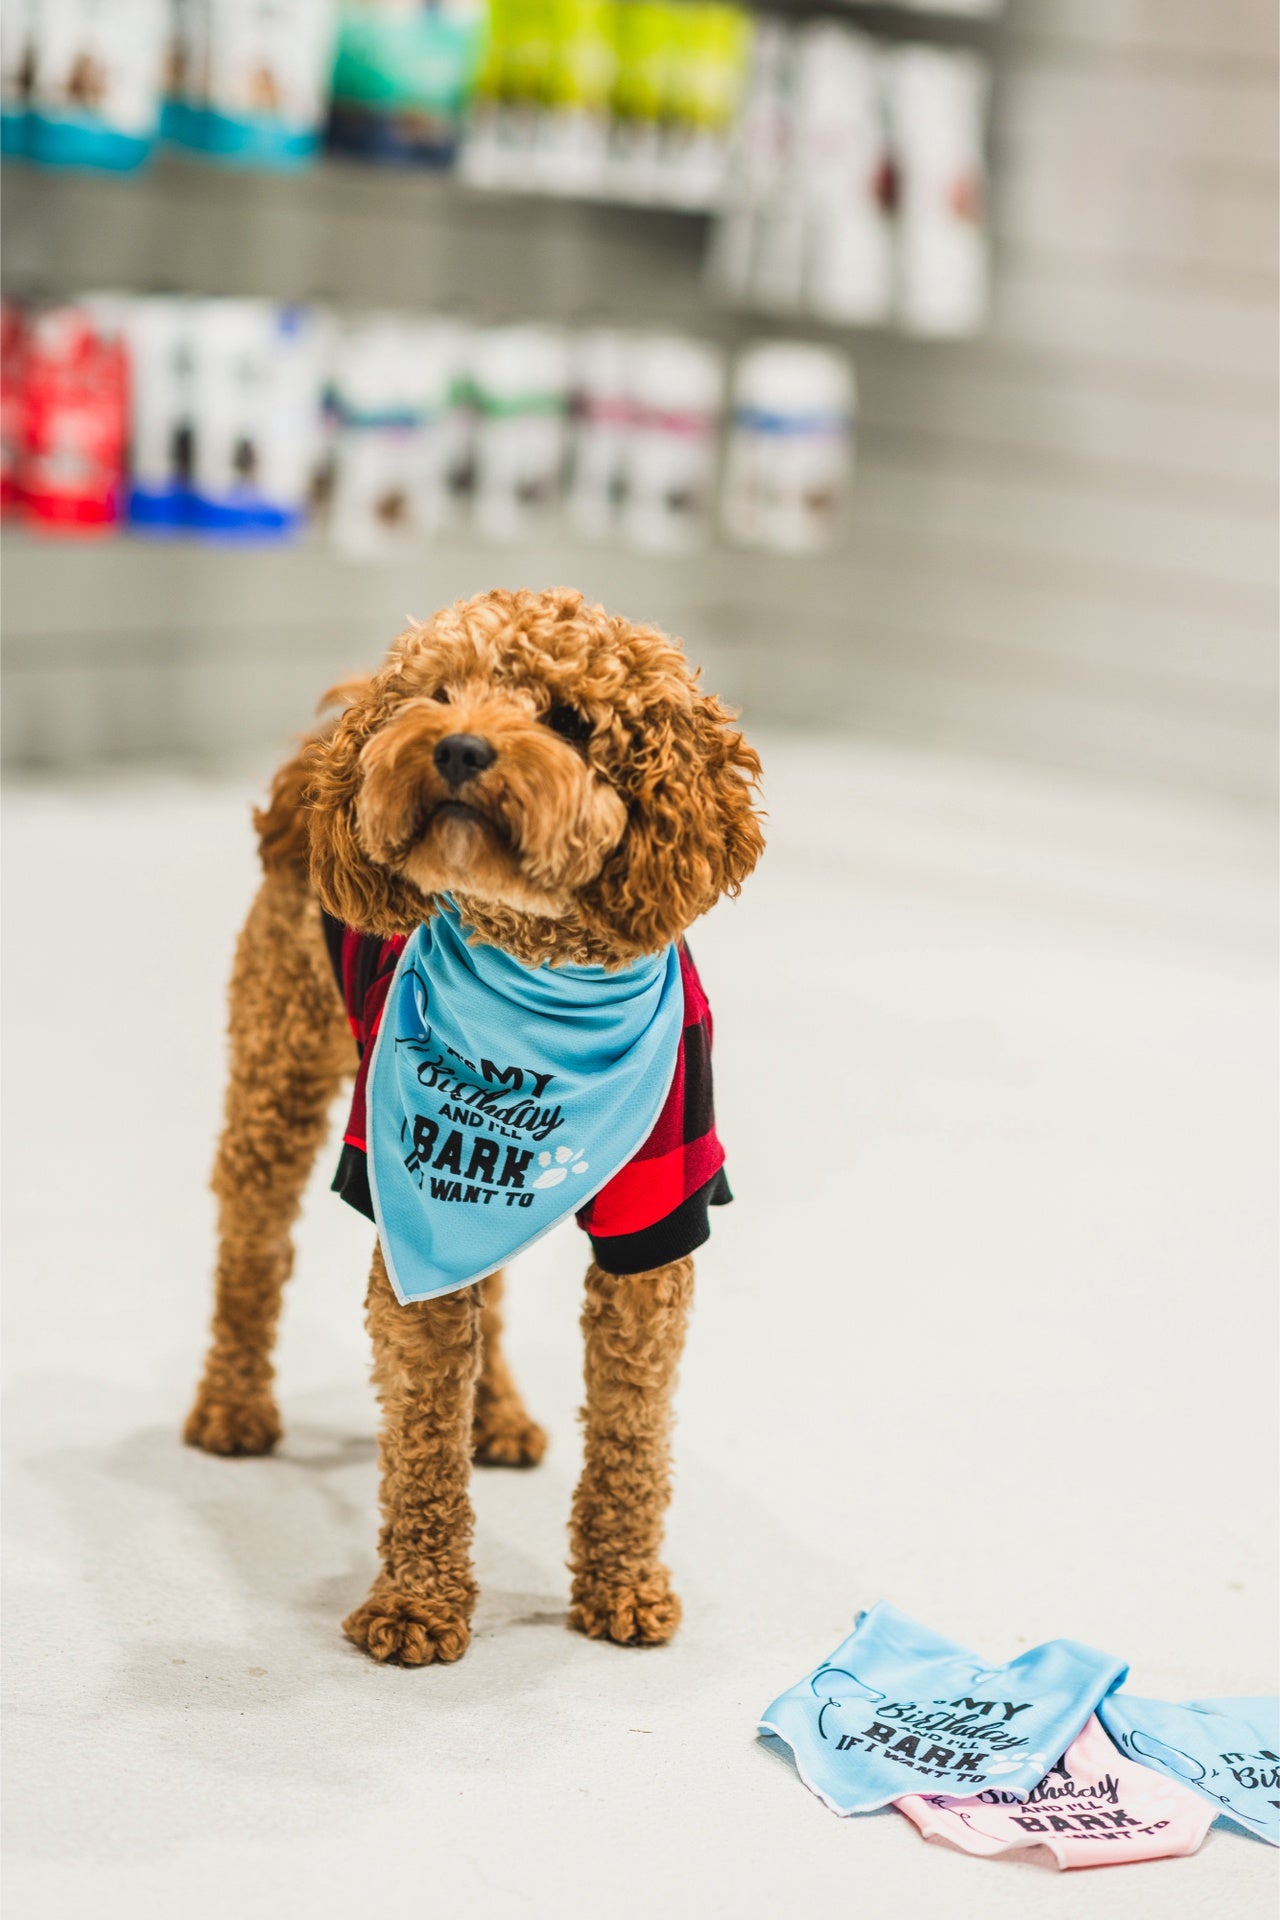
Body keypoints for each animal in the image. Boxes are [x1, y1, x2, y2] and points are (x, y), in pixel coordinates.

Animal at [180, 583, 759, 1666]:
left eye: (568, 719)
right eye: (441, 694)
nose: (454, 747)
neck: (537, 981)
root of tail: (322, 753)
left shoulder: (654, 1223)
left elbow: (631, 1430)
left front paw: (623, 1586)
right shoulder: (401, 1190)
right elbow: (419, 1434)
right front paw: (416, 1603)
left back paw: (498, 1417)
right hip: (278, 1077)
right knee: (251, 1252)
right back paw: (233, 1405)